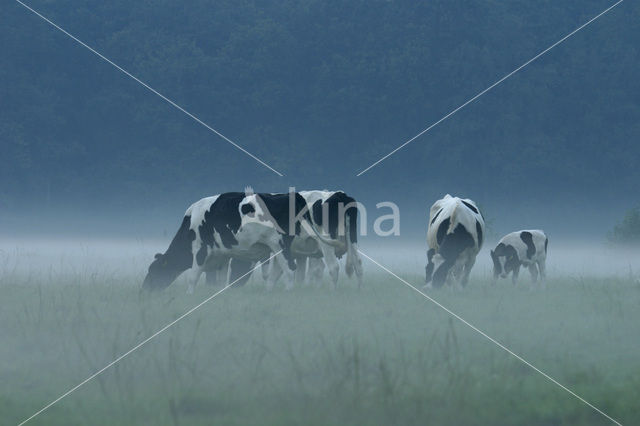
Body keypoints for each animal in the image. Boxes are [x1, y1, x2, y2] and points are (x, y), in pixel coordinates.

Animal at [143, 191, 328, 292]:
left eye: (154, 271)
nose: (144, 291)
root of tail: (292, 196)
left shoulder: (200, 249)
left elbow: (193, 276)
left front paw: (189, 295)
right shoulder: (222, 256)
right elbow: (219, 280)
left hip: (279, 244)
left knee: (289, 269)